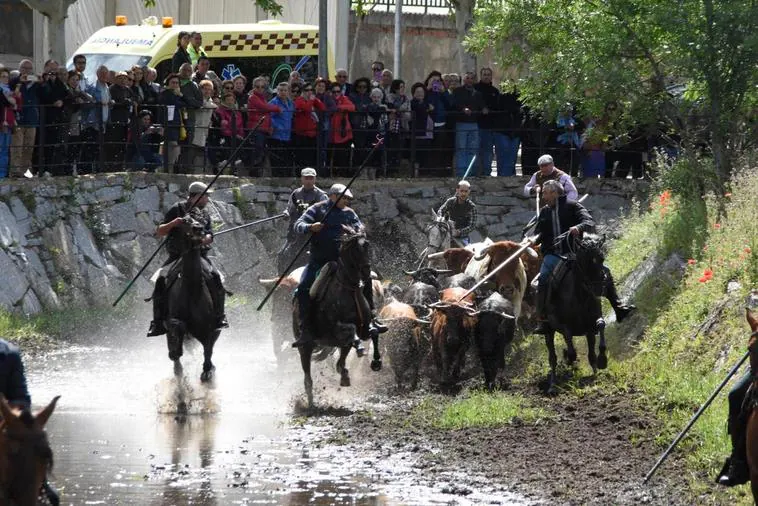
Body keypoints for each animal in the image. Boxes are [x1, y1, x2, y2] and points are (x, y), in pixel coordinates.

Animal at [167, 216, 223, 380]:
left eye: (202, 222)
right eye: (185, 221)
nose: (198, 229)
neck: (192, 290)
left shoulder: (209, 330)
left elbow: (208, 350)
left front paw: (207, 371)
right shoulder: (173, 321)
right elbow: (176, 326)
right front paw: (175, 354)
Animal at [544, 233, 608, 396]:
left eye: (602, 258)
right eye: (586, 261)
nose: (598, 287)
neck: (580, 296)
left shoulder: (592, 325)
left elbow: (601, 326)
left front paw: (601, 363)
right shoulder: (562, 325)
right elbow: (569, 343)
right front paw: (568, 357)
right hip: (548, 331)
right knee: (552, 358)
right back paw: (553, 385)